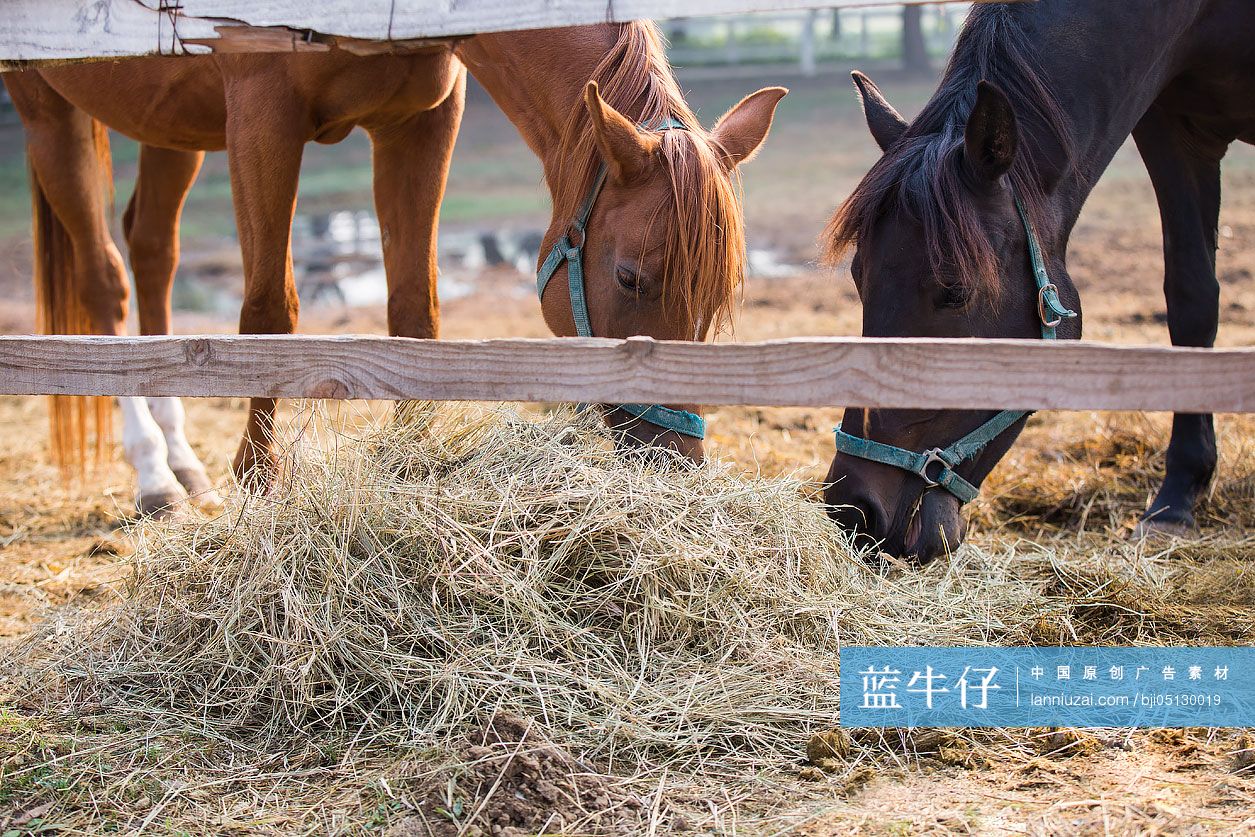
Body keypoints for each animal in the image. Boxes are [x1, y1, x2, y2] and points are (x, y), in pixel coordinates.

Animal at [7, 22, 784, 515]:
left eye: (717, 299)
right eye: (629, 277)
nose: (678, 464)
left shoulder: (420, 123)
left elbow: (414, 307)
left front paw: (410, 459)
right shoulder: (262, 115)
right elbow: (267, 309)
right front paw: (259, 476)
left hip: (169, 129)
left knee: (151, 251)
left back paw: (180, 459)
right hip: (48, 109)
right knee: (104, 280)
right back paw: (151, 472)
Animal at [820, 0, 1254, 563]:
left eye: (955, 291)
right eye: (858, 278)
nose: (853, 509)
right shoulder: (1173, 129)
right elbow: (1192, 298)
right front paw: (1177, 499)